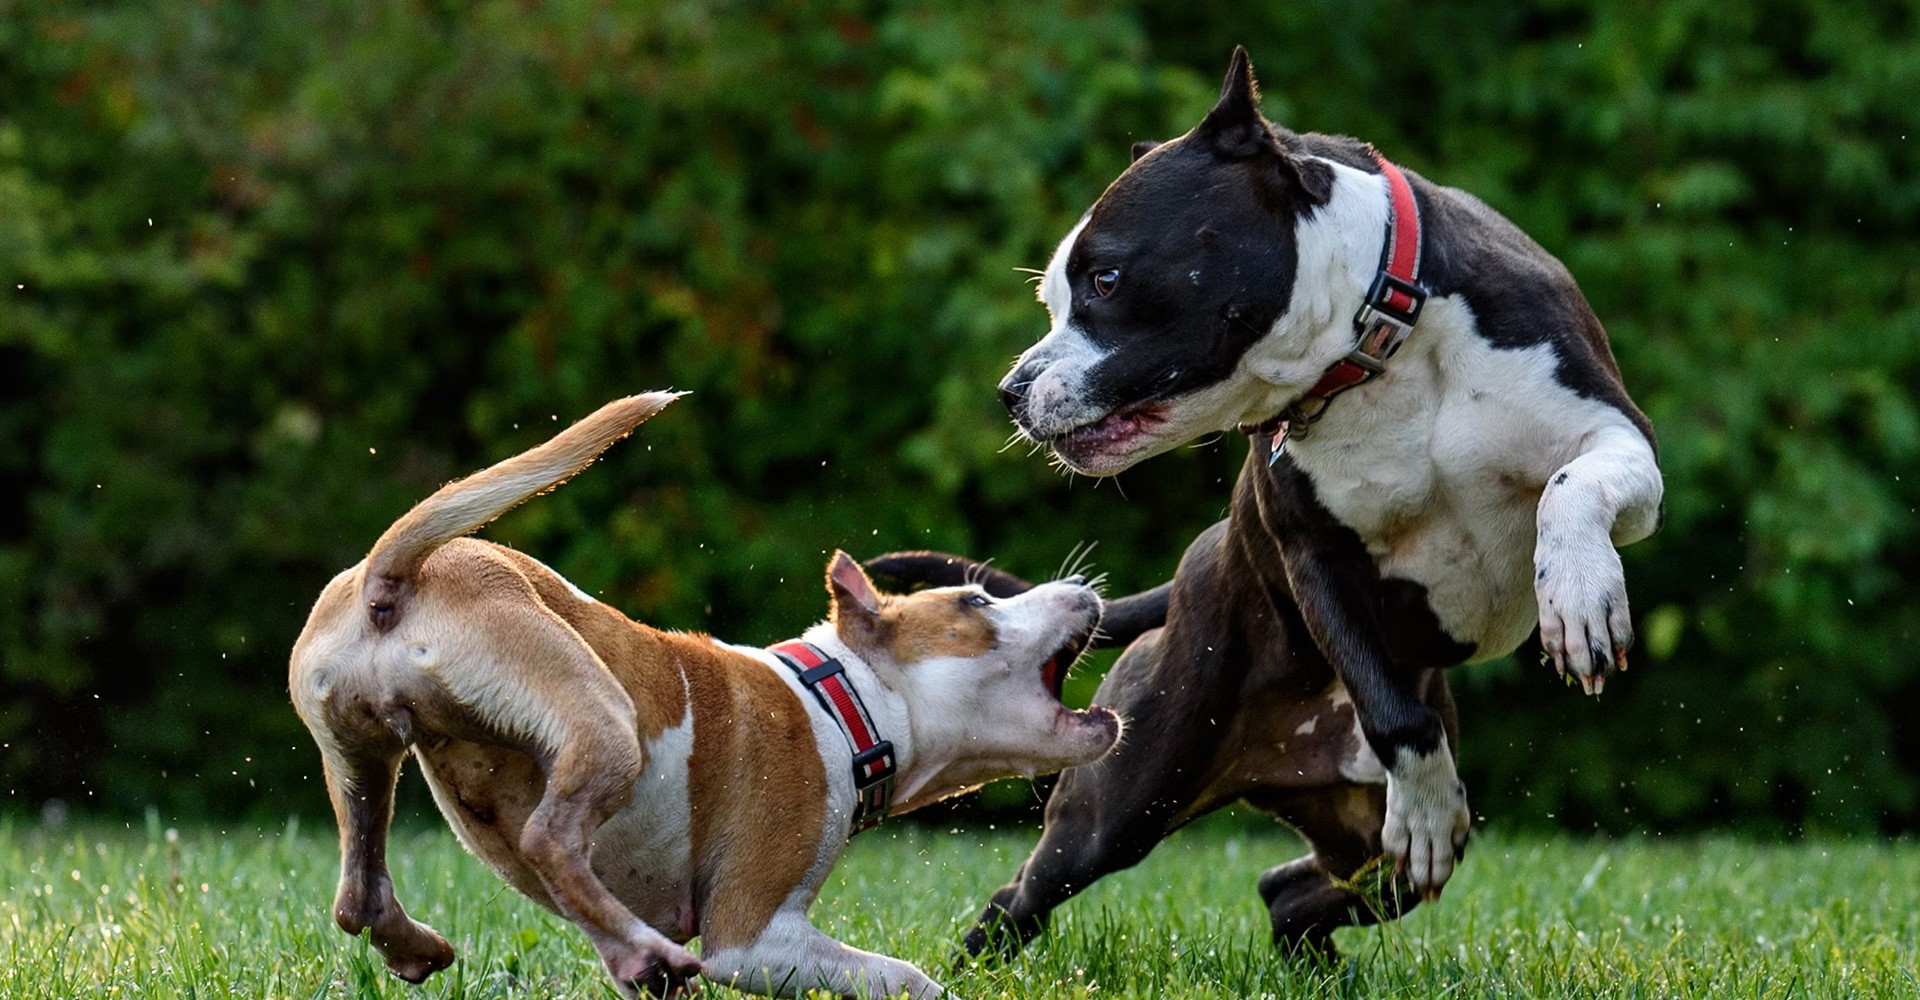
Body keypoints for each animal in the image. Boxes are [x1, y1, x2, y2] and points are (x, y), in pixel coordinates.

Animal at [291, 391, 1121, 998]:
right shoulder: (754, 938)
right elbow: (906, 978)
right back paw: (641, 949)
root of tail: (392, 577)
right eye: (976, 604)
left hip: (360, 756)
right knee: (548, 837)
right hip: (600, 719)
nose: (1085, 588)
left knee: (359, 895)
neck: (840, 699)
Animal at [875, 50, 1666, 955]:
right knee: (1028, 893)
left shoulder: (1619, 436)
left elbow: (1571, 488)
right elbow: (1394, 715)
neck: (1379, 345)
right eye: (1054, 299)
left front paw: (1579, 596)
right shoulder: (1312, 554)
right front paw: (1428, 805)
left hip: (1361, 847)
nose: (1011, 390)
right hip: (1126, 794)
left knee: (1291, 889)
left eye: (1106, 279)